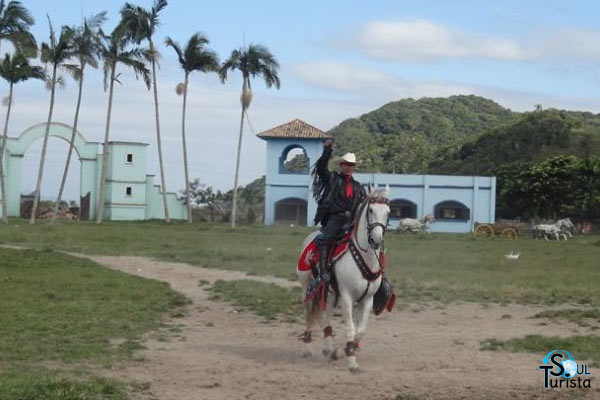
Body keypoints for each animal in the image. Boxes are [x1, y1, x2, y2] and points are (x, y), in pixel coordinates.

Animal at [296, 184, 392, 372]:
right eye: (370, 210)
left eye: (388, 212)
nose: (376, 239)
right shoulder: (347, 297)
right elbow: (351, 329)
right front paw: (352, 361)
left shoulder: (367, 299)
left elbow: (360, 331)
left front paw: (343, 351)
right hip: (307, 288)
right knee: (309, 315)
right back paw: (307, 348)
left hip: (330, 292)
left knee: (326, 318)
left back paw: (328, 348)